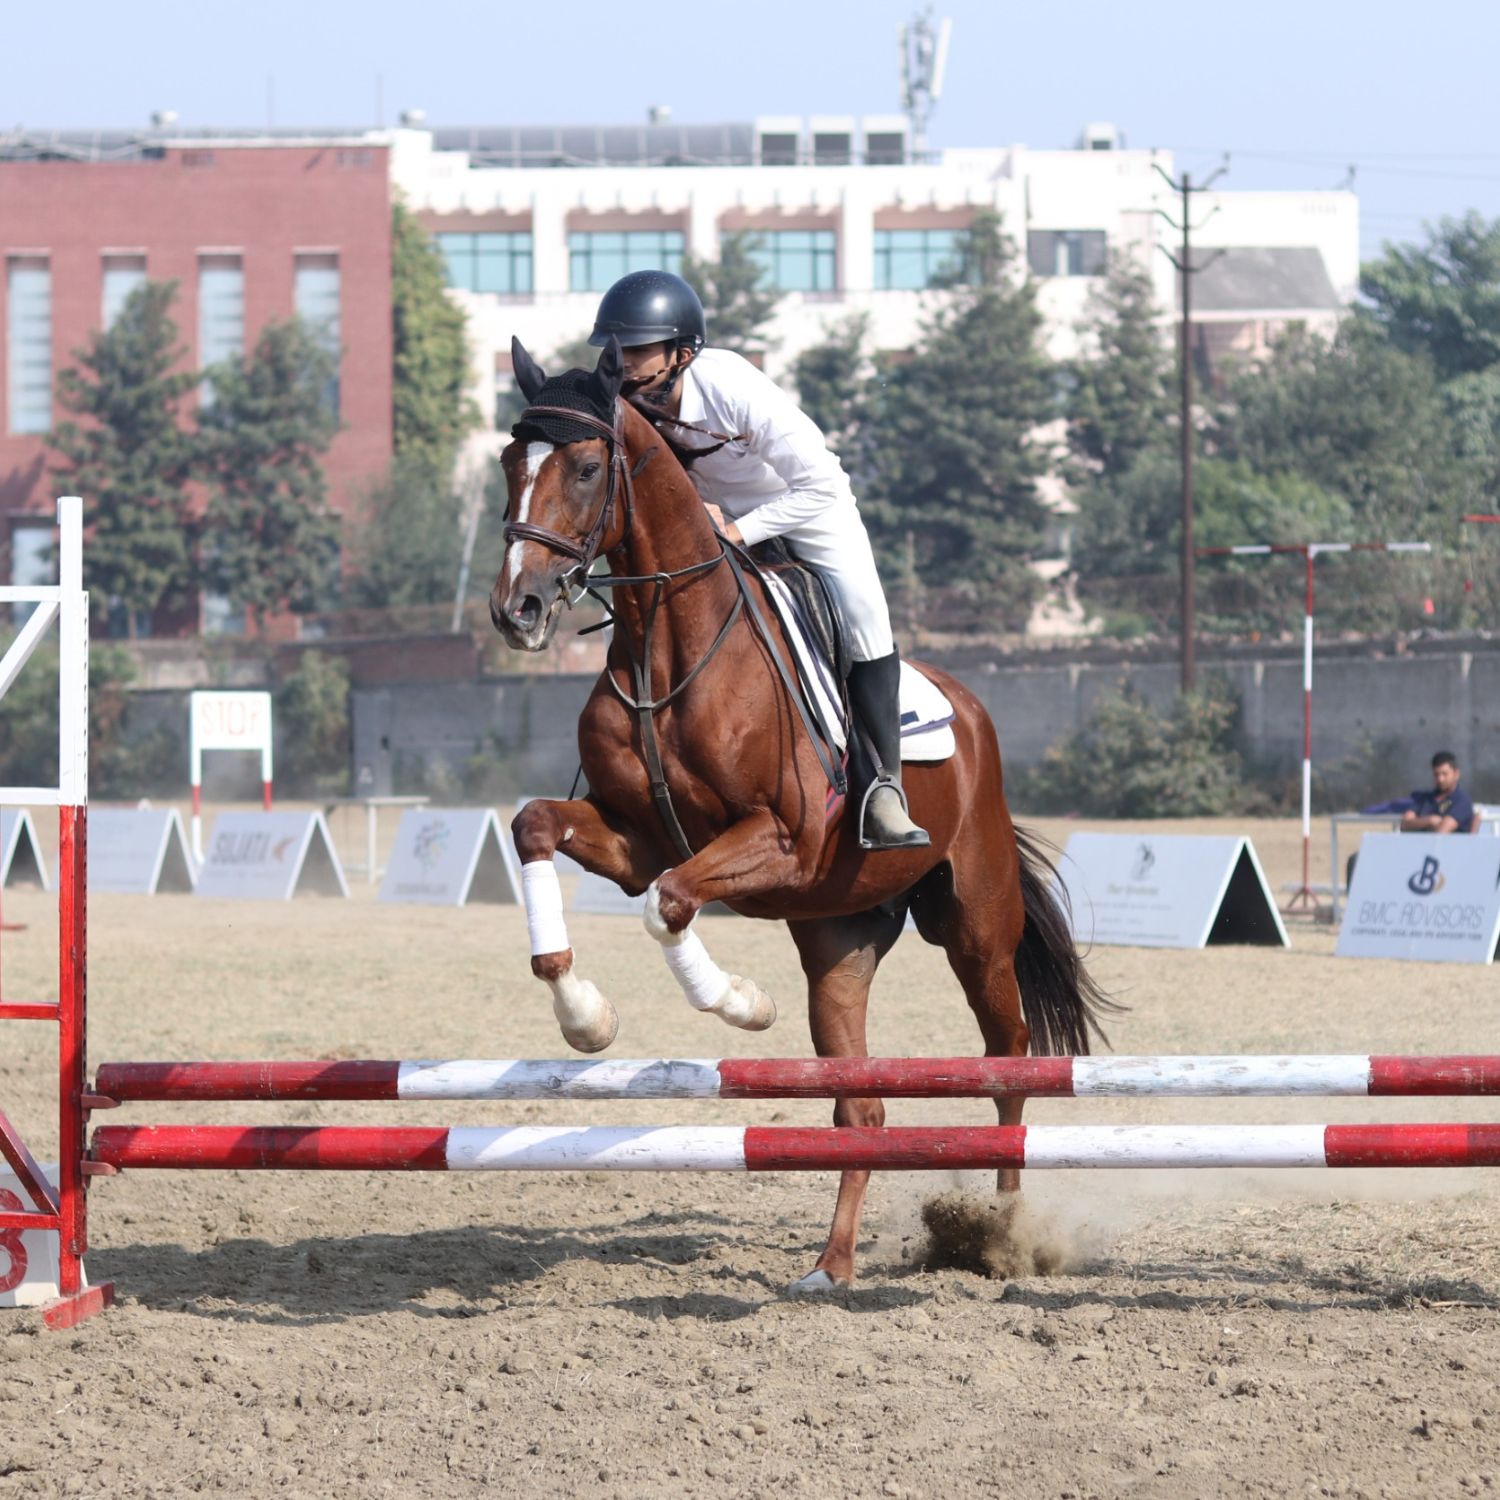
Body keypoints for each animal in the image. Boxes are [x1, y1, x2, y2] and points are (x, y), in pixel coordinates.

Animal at [490, 336, 1115, 1292]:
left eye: (589, 467)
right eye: (508, 463)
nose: (515, 610)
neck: (665, 644)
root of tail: (972, 710)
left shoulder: (779, 839)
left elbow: (672, 901)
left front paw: (740, 1004)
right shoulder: (632, 839)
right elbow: (540, 828)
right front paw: (584, 1014)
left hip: (974, 927)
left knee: (1010, 1060)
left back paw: (1002, 1233)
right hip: (839, 945)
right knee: (863, 1110)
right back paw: (833, 1262)